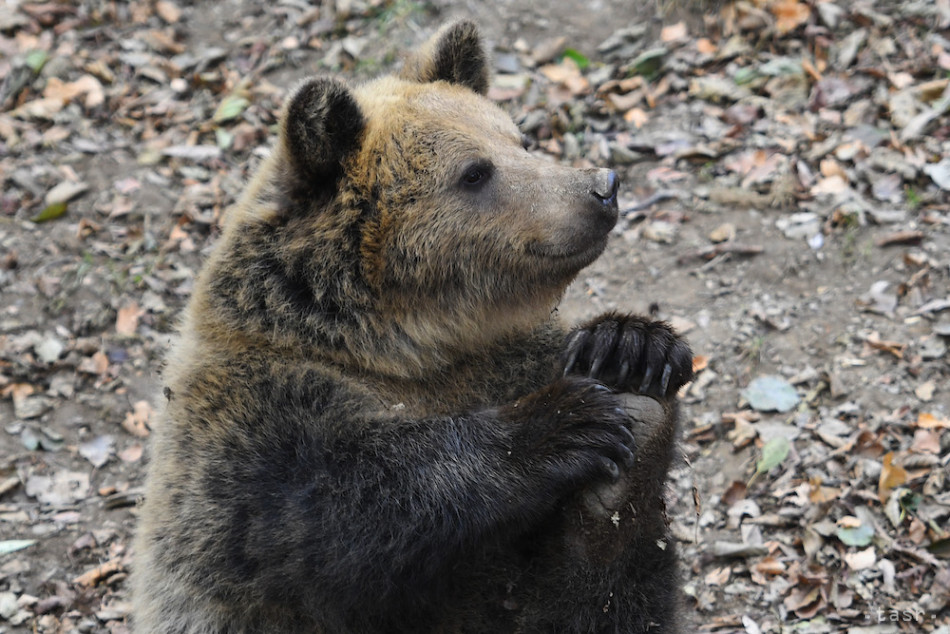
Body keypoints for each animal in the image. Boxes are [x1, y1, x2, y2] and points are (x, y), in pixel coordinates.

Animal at [130, 19, 692, 632]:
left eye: (519, 139)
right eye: (474, 172)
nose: (601, 187)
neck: (407, 346)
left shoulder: (506, 359)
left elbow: (594, 597)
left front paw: (631, 351)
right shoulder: (250, 428)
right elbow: (347, 502)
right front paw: (567, 423)